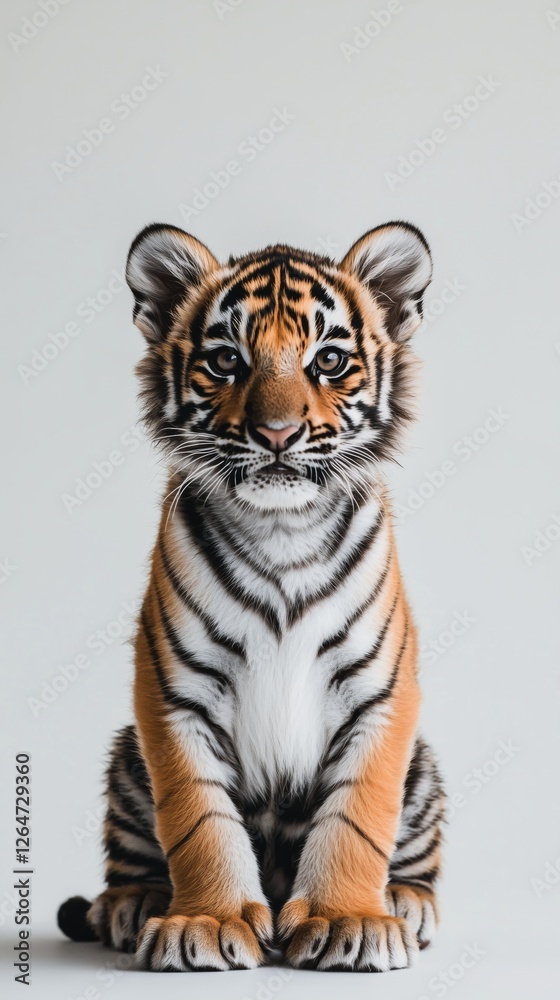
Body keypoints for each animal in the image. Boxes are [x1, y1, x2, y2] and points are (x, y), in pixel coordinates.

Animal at [57, 220, 446, 973]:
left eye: (329, 361)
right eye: (225, 361)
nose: (276, 434)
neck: (282, 529)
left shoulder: (380, 695)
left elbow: (358, 816)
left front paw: (349, 918)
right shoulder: (174, 694)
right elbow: (199, 820)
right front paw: (204, 923)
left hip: (422, 768)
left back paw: (404, 902)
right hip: (126, 760)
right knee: (132, 859)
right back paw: (134, 903)